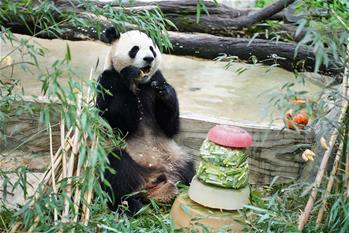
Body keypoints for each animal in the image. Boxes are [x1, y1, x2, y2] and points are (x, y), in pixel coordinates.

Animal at [95, 27, 194, 213]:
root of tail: (152, 180)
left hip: (174, 157)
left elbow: (170, 126)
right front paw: (130, 75)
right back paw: (130, 206)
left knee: (189, 169)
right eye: (134, 49)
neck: (141, 84)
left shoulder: (156, 78)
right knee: (116, 169)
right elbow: (116, 124)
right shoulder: (108, 81)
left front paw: (166, 93)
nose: (149, 58)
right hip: (123, 159)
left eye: (152, 49)